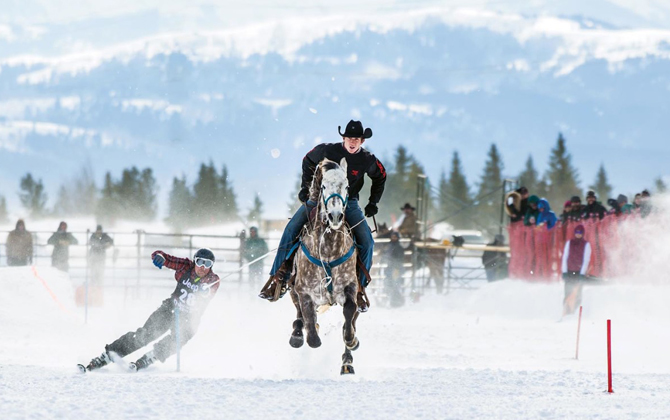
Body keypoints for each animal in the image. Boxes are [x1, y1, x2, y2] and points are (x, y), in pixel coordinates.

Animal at [288, 158, 362, 374]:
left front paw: (351, 340)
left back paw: (347, 362)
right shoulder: (303, 290)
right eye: (323, 186)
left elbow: (349, 313)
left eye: (346, 186)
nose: (335, 216)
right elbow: (311, 331)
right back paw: (297, 334)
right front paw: (305, 333)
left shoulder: (351, 286)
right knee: (300, 315)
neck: (329, 251)